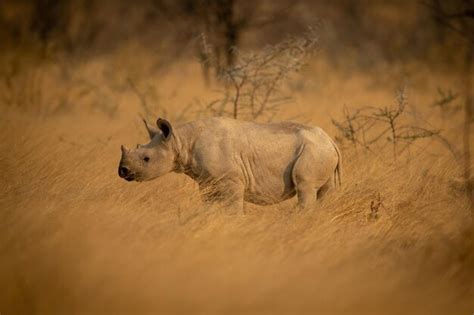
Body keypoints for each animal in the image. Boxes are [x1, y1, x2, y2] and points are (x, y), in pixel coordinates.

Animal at [118, 117, 340, 214]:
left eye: (146, 159)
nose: (122, 171)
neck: (180, 140)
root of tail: (330, 140)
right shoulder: (207, 182)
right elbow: (208, 205)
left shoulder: (231, 180)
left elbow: (233, 209)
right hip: (319, 150)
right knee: (324, 191)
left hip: (314, 151)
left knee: (305, 186)